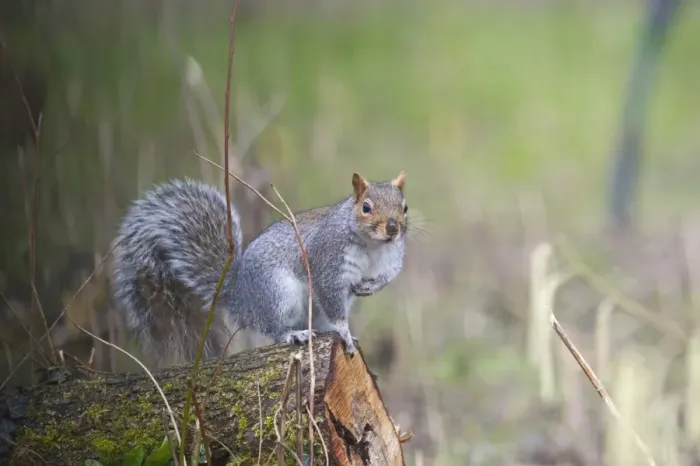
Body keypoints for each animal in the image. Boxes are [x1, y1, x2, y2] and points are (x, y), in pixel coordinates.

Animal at [110, 170, 409, 367]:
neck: (373, 246)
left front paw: (370, 287)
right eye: (366, 207)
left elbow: (388, 276)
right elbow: (331, 299)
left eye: (404, 207)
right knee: (273, 330)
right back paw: (294, 334)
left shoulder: (392, 257)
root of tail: (241, 297)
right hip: (278, 294)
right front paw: (344, 332)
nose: (393, 228)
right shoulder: (327, 261)